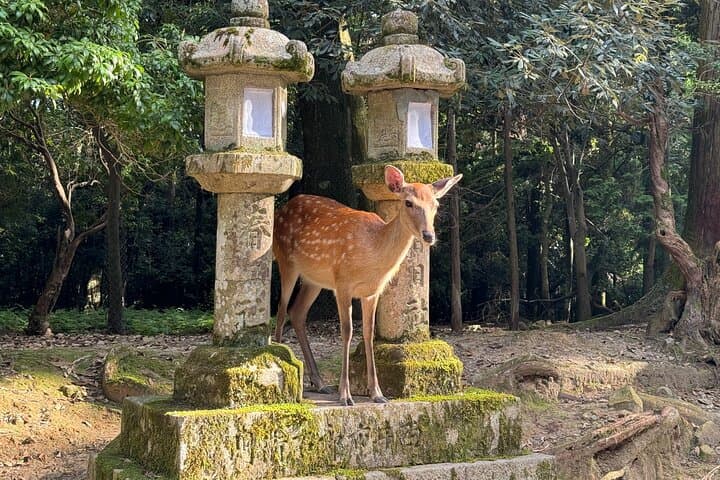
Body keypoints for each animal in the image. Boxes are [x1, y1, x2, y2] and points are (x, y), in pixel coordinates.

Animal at [272, 165, 462, 406]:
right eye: (408, 203)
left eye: (435, 205)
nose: (429, 235)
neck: (373, 252)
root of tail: (280, 211)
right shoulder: (343, 283)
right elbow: (347, 332)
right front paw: (345, 395)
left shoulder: (371, 292)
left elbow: (369, 333)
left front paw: (377, 393)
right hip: (286, 260)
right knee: (281, 310)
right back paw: (286, 367)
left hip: (314, 279)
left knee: (297, 312)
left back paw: (319, 382)